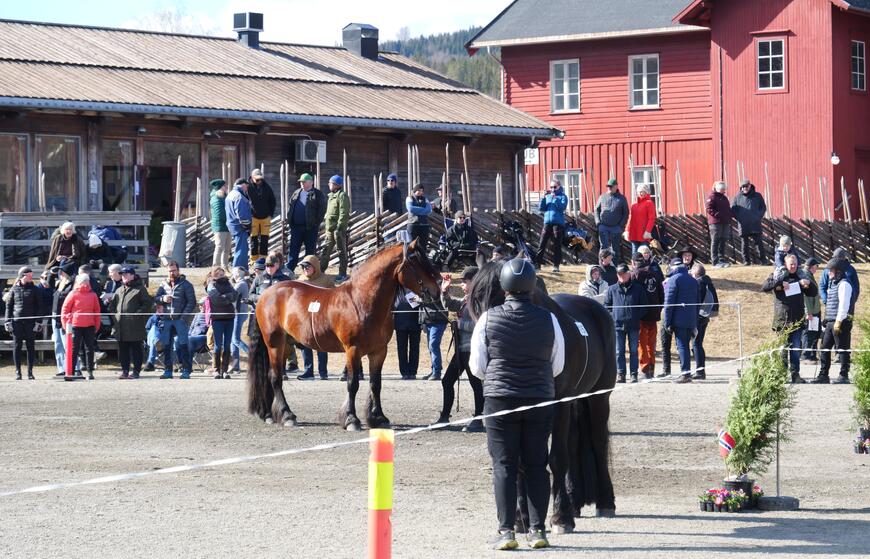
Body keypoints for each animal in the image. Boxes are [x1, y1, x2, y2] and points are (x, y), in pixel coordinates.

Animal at [247, 238, 442, 430]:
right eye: (415, 262)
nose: (437, 289)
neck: (361, 301)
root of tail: (265, 295)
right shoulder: (352, 350)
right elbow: (352, 383)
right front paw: (351, 419)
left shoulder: (379, 351)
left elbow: (376, 383)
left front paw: (378, 417)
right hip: (274, 344)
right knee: (274, 377)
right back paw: (287, 415)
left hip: (286, 345)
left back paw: (269, 414)